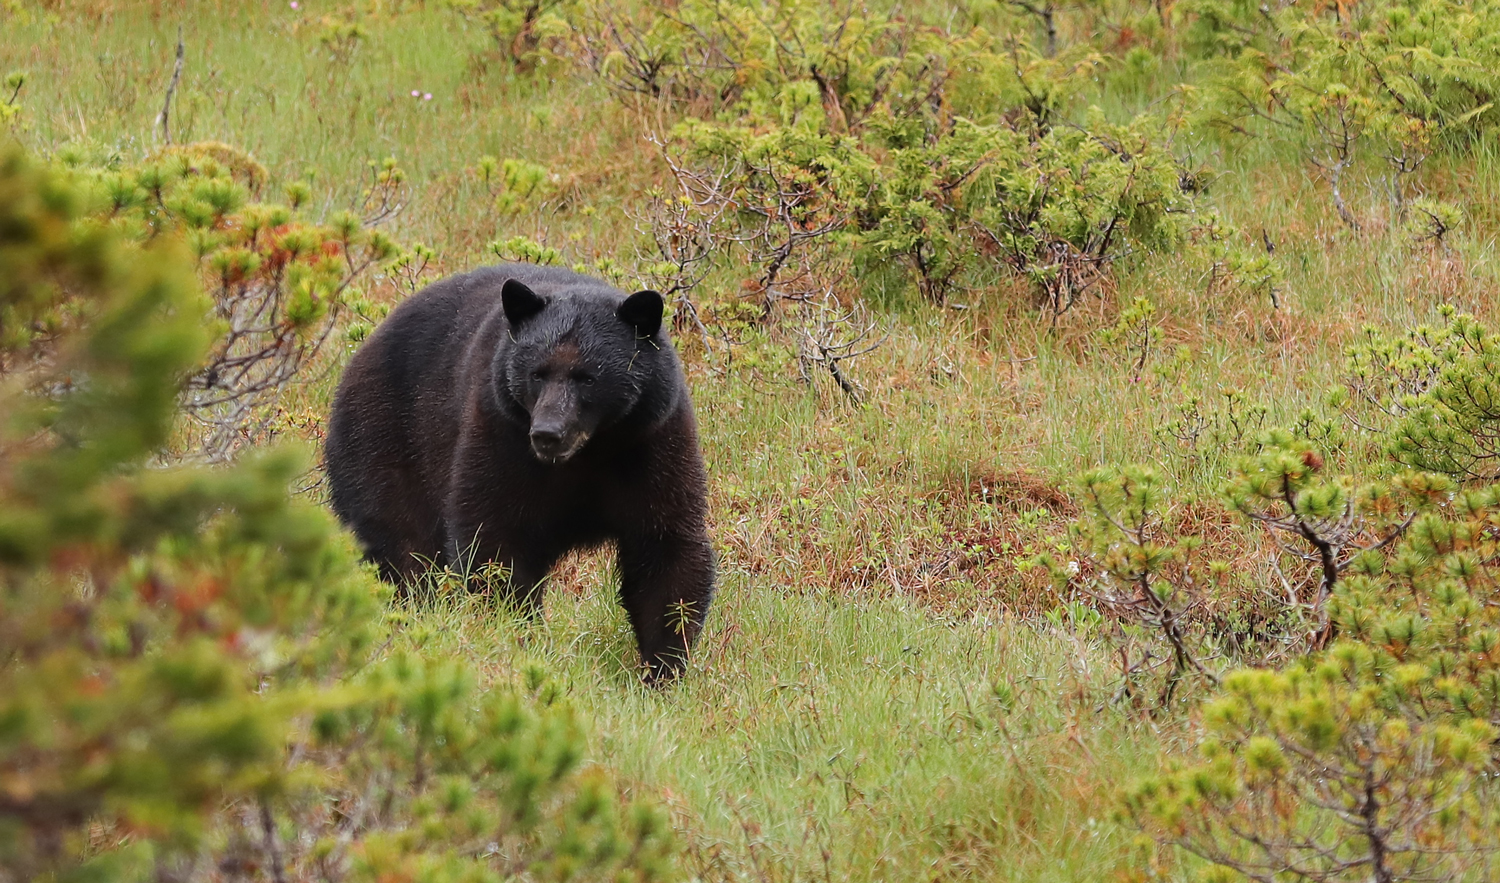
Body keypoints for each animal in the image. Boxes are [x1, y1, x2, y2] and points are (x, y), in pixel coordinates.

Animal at [331, 262, 717, 680]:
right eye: (537, 373)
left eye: (588, 377)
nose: (547, 433)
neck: (589, 452)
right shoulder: (503, 435)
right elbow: (495, 538)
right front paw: (514, 633)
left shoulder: (652, 443)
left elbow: (665, 546)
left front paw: (663, 666)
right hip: (384, 442)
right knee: (401, 546)